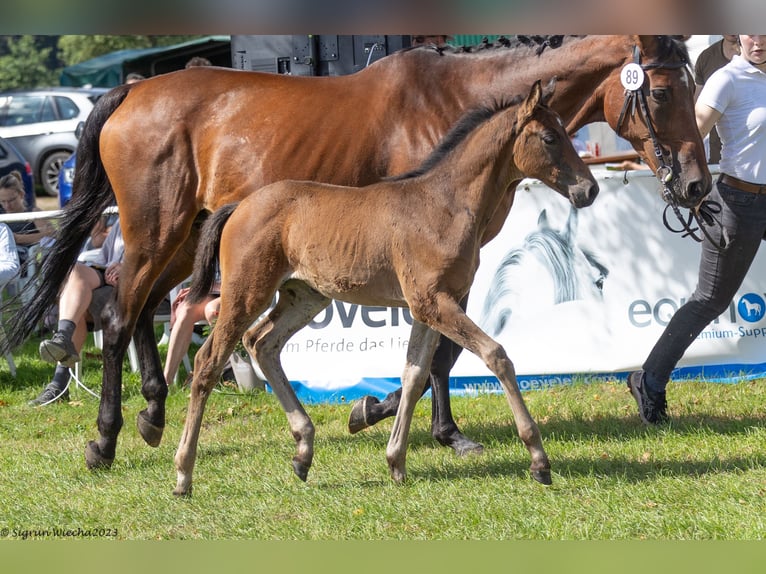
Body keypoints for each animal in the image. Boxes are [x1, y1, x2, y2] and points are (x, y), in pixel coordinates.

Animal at [4, 33, 712, 472]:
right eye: (664, 90)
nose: (696, 185)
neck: (456, 102)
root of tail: (131, 92)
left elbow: (434, 354)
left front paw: (402, 421)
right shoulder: (429, 274)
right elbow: (444, 352)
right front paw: (398, 418)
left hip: (186, 243)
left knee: (157, 309)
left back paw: (154, 411)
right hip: (158, 233)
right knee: (122, 314)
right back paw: (107, 438)